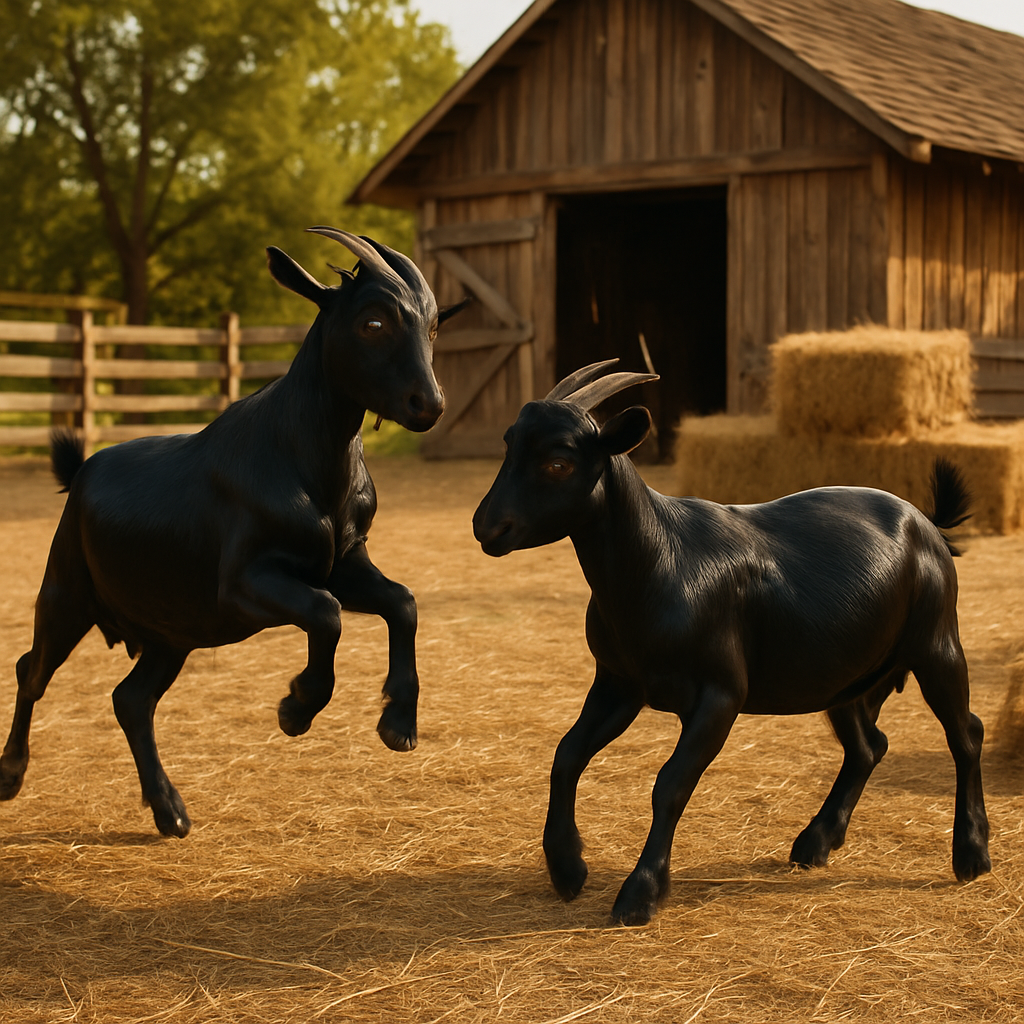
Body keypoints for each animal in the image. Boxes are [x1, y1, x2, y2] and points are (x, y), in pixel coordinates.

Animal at [0, 227, 465, 838]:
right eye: (372, 322)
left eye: (433, 327)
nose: (427, 405)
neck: (306, 462)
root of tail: (81, 473)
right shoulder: (245, 584)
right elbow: (326, 613)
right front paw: (296, 708)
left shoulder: (344, 562)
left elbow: (402, 602)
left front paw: (398, 724)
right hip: (67, 592)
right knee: (31, 670)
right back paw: (10, 774)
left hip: (172, 630)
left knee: (131, 699)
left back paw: (169, 811)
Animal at [473, 360, 990, 926]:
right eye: (509, 443)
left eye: (559, 462)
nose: (487, 527)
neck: (662, 563)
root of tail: (928, 524)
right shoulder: (619, 683)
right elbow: (567, 754)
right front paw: (567, 868)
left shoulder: (720, 693)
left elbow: (670, 782)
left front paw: (640, 894)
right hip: (843, 676)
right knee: (868, 745)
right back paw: (815, 842)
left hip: (937, 642)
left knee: (966, 733)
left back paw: (972, 854)